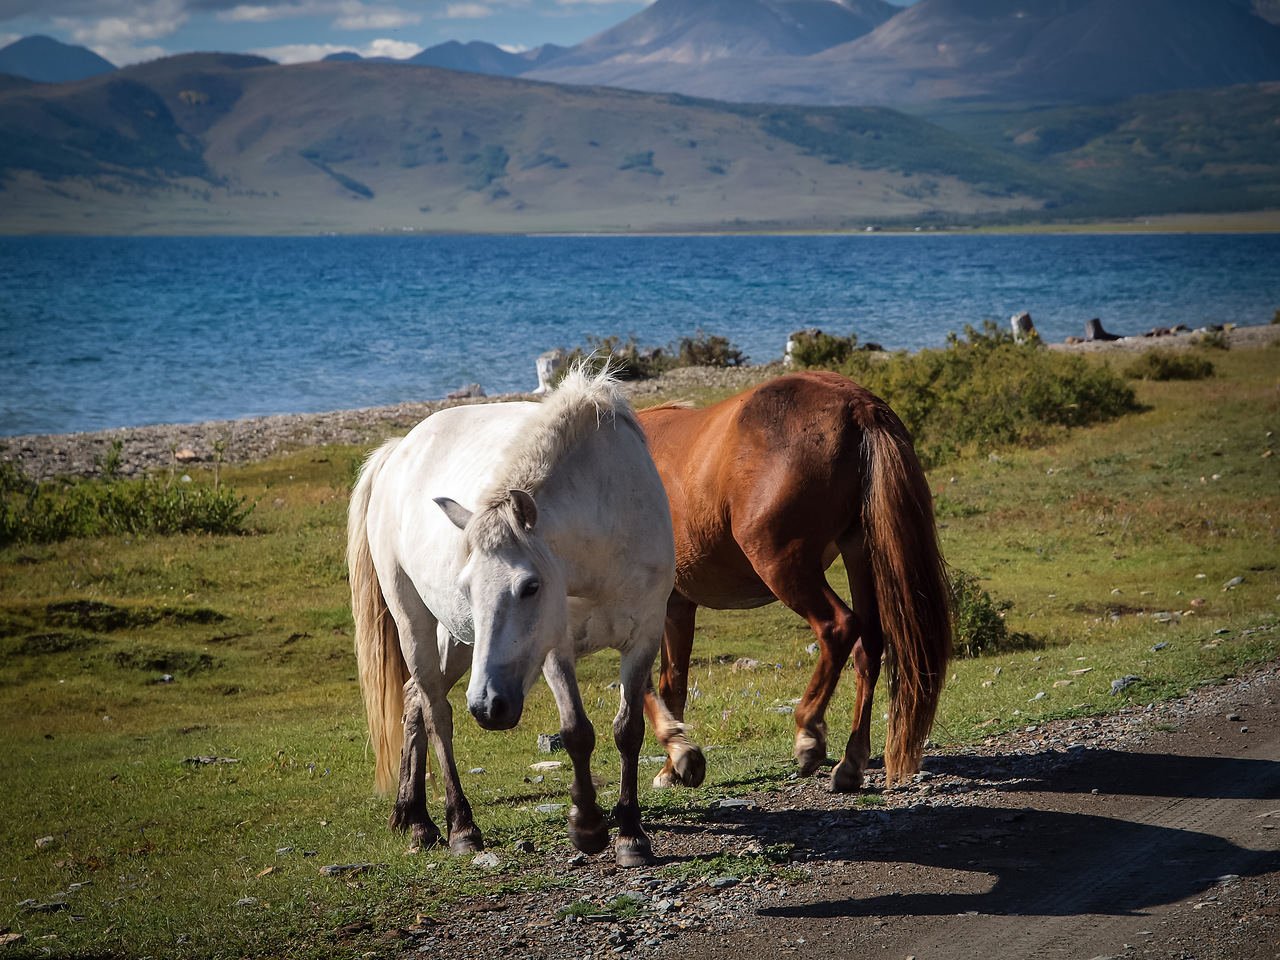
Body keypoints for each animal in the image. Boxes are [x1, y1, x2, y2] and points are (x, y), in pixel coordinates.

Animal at [345, 368, 701, 870]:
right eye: (467, 586)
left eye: (530, 587)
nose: (487, 706)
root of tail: (397, 450)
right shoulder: (555, 649)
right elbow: (576, 732)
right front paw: (588, 827)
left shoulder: (644, 637)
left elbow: (628, 731)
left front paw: (631, 834)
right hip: (414, 621)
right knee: (436, 711)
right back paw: (460, 827)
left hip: (460, 641)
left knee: (414, 698)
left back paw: (416, 820)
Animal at [637, 371, 952, 793]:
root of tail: (858, 405)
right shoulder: (676, 606)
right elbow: (672, 683)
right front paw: (676, 762)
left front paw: (681, 755)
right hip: (859, 553)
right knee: (868, 645)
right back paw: (850, 763)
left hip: (783, 564)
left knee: (838, 627)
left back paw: (809, 735)